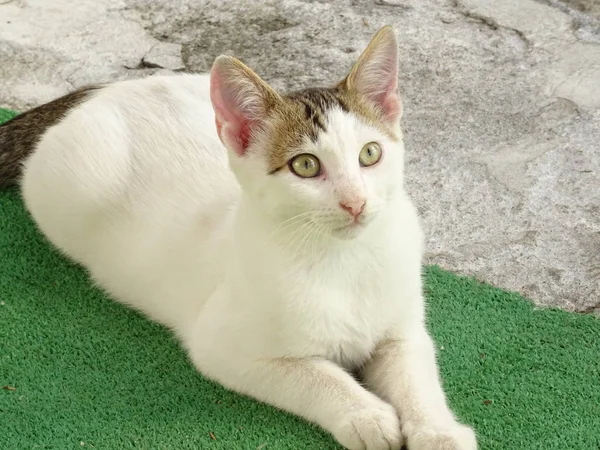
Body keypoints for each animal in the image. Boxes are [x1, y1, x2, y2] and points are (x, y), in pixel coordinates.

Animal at [1, 25, 478, 450]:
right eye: (305, 165)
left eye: (370, 154)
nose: (355, 202)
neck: (344, 259)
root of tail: (101, 90)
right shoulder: (222, 348)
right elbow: (314, 374)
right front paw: (365, 414)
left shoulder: (403, 329)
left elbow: (415, 376)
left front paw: (438, 432)